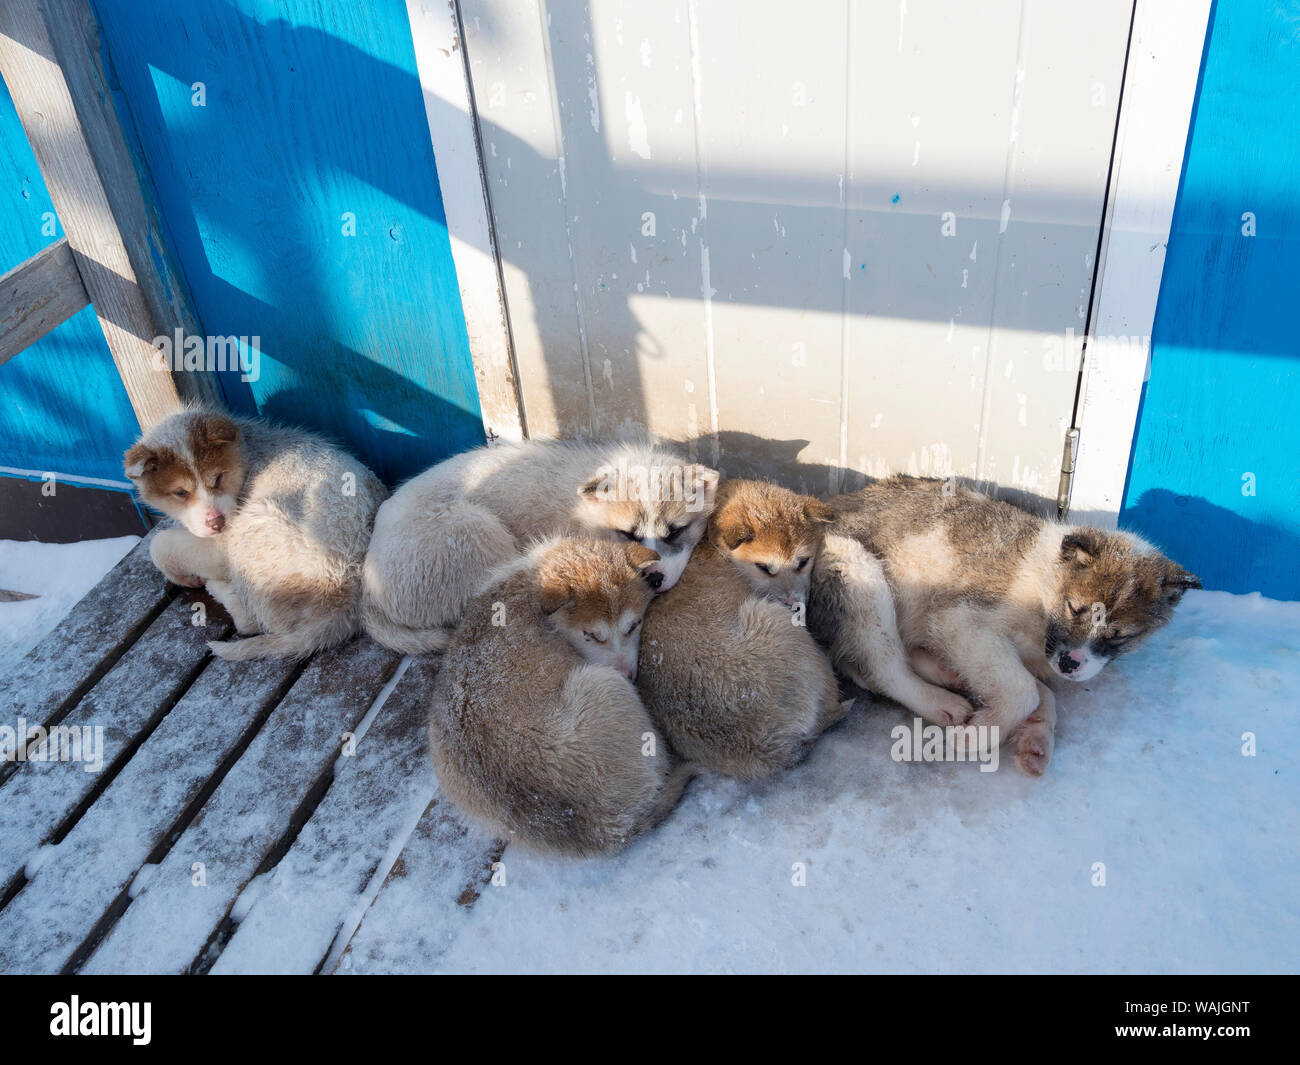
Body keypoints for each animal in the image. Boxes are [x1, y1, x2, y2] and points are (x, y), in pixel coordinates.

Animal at [121, 405, 384, 657]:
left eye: (217, 478)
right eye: (180, 493)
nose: (216, 523)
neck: (248, 451)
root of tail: (340, 612)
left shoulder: (222, 541)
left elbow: (160, 545)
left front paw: (184, 576)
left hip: (250, 529)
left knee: (247, 622)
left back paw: (219, 589)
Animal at [361, 436, 717, 652]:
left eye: (675, 532)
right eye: (627, 534)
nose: (654, 579)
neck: (584, 514)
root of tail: (368, 590)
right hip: (476, 531)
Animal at [426, 540, 696, 858]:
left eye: (633, 626)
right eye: (592, 634)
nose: (629, 675)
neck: (531, 583)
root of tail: (610, 829)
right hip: (603, 683)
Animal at [637, 478, 842, 780]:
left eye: (803, 562)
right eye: (764, 567)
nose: (795, 605)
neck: (713, 545)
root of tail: (768, 748)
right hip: (777, 623)